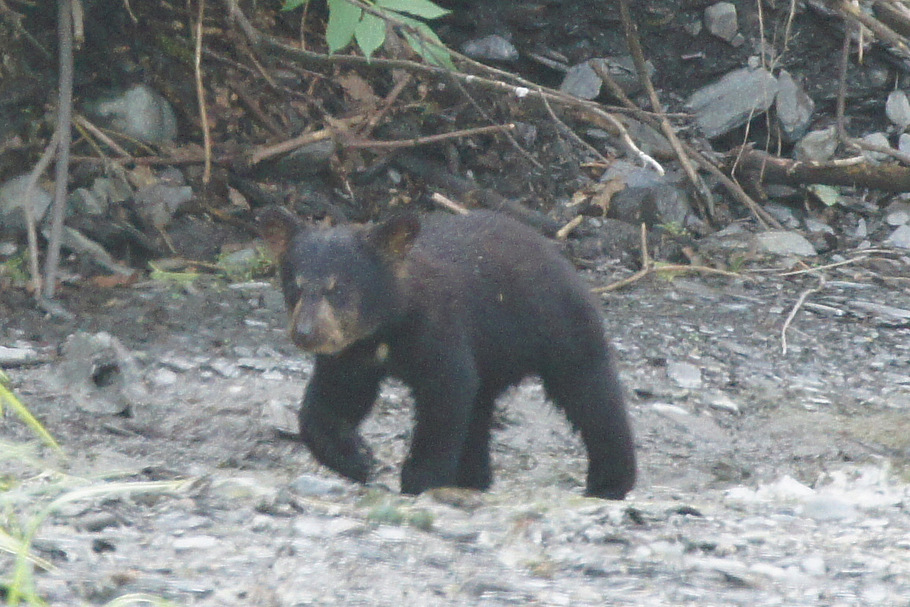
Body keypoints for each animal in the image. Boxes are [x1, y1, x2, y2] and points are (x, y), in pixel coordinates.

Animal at [260, 208, 636, 499]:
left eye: (338, 289)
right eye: (295, 286)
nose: (306, 333)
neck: (388, 327)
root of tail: (562, 258)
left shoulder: (439, 329)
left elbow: (446, 393)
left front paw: (419, 477)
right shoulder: (352, 354)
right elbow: (333, 401)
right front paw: (356, 459)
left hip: (557, 326)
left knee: (590, 393)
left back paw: (611, 481)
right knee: (480, 408)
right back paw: (473, 478)